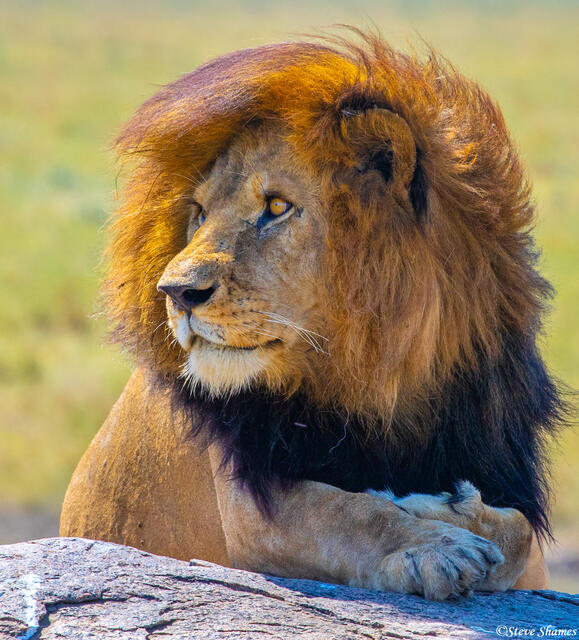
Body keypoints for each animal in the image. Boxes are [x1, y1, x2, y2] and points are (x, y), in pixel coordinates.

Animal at [60, 31, 564, 600]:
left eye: (277, 207)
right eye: (200, 213)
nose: (174, 292)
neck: (381, 379)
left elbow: (519, 530)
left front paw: (447, 508)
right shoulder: (251, 507)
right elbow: (350, 515)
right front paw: (436, 545)